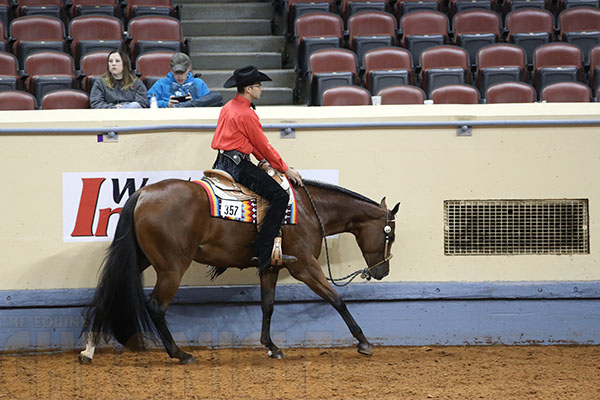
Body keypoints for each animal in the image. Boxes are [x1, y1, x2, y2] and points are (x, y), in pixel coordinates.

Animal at [78, 177, 398, 362]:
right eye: (389, 235)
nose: (382, 271)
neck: (309, 210)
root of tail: (142, 195)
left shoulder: (270, 267)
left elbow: (268, 305)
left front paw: (271, 346)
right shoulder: (305, 266)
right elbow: (336, 299)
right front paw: (363, 342)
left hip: (143, 257)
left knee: (107, 295)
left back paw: (89, 350)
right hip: (171, 268)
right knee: (156, 306)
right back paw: (179, 353)